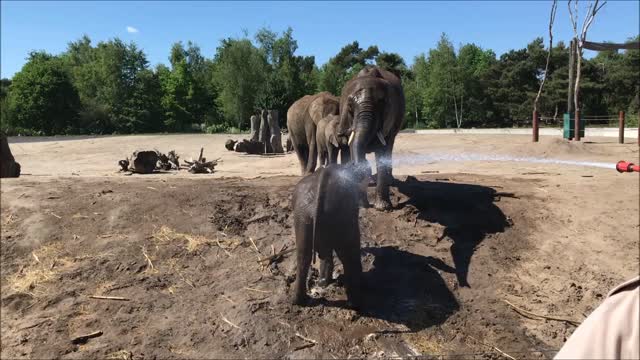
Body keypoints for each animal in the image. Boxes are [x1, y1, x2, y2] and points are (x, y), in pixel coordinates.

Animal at [290, 162, 370, 308]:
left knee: (303, 255)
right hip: (341, 215)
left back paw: (300, 301)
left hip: (302, 215)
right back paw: (355, 303)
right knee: (349, 254)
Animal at [338, 67, 402, 211]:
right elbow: (353, 145)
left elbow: (383, 151)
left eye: (381, 103)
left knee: (389, 149)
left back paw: (389, 181)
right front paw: (362, 206)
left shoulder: (390, 118)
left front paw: (383, 208)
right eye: (350, 106)